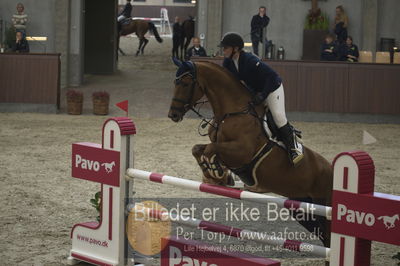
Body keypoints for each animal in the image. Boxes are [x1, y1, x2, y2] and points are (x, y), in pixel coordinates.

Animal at [169, 58, 334, 247]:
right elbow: (197, 148)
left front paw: (216, 172)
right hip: (303, 208)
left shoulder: (242, 151)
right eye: (175, 82)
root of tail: (331, 168)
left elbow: (211, 149)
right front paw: (214, 174)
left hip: (323, 205)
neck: (232, 112)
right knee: (322, 234)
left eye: (185, 83)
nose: (172, 114)